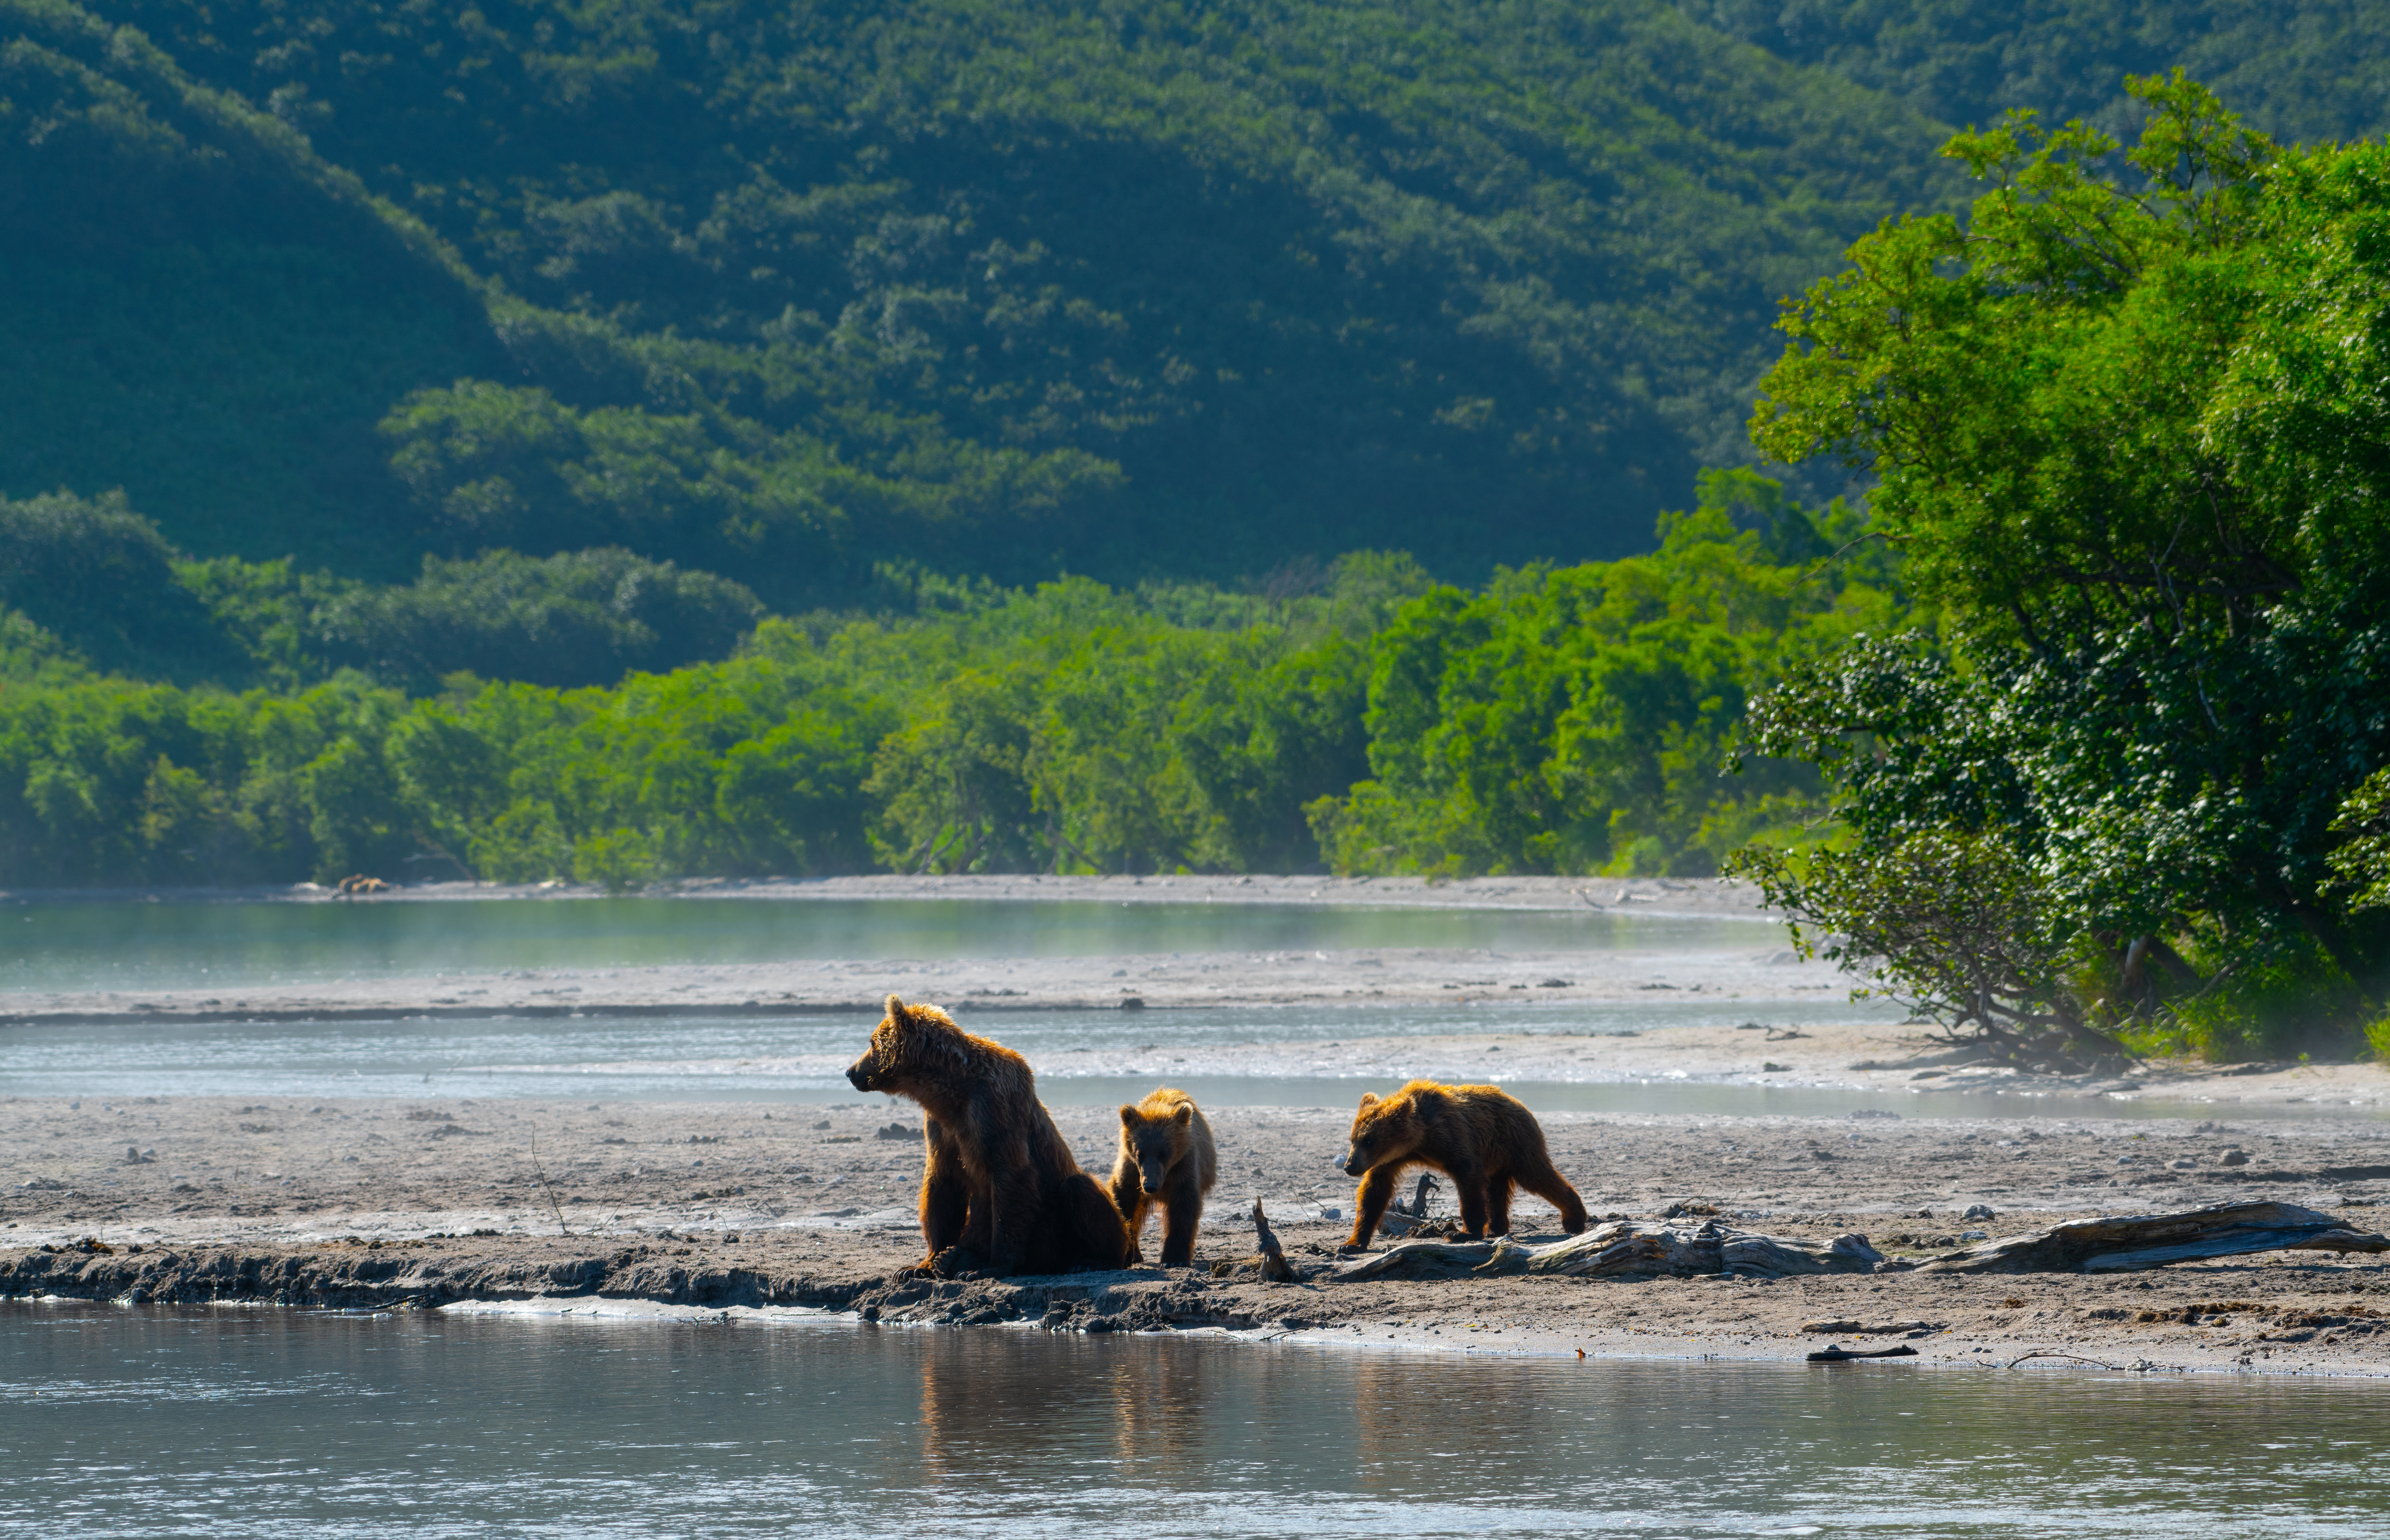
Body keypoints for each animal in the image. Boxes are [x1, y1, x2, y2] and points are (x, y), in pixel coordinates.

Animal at [844, 994, 1131, 1277]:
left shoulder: (995, 1111)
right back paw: (955, 1258)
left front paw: (994, 1266)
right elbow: (942, 1184)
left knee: (1080, 1190)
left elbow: (1010, 1179)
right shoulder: (942, 1128)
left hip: (1056, 1228)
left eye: (872, 1042)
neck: (952, 1093)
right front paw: (920, 1265)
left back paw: (1090, 1260)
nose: (850, 1071)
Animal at [1107, 1088, 1219, 1267]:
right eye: (1140, 1153)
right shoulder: (1131, 1170)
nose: (1150, 1186)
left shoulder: (1184, 1166)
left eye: (1164, 1154)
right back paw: (1137, 1255)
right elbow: (1124, 1200)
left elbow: (1184, 1209)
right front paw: (1125, 1253)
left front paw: (1174, 1259)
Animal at [1337, 1079, 1589, 1251]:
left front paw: (1463, 1233)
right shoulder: (1388, 1161)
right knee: (1497, 1191)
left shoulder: (1451, 1138)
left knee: (1536, 1175)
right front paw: (1352, 1244)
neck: (1417, 1139)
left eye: (1369, 1140)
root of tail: (1521, 1104)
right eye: (1353, 1139)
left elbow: (1468, 1178)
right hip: (1497, 1156)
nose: (1350, 1166)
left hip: (1515, 1141)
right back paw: (1496, 1228)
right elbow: (1374, 1191)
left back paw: (1574, 1218)